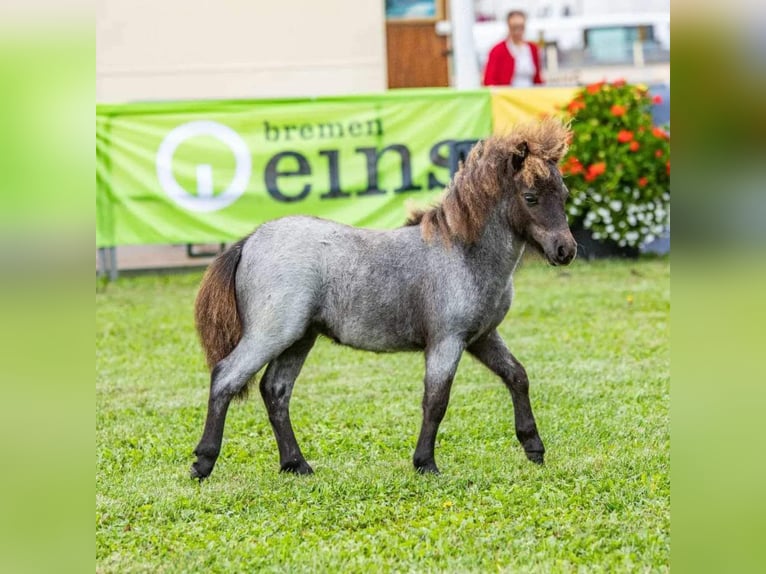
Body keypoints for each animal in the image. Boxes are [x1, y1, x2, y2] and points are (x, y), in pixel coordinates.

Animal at [190, 117, 576, 482]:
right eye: (530, 196)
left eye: (564, 193)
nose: (565, 250)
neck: (463, 254)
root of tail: (250, 240)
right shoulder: (447, 340)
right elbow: (436, 400)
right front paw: (425, 464)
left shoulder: (482, 338)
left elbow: (517, 376)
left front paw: (533, 447)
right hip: (272, 334)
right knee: (226, 377)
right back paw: (203, 462)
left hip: (299, 338)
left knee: (275, 390)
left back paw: (296, 464)